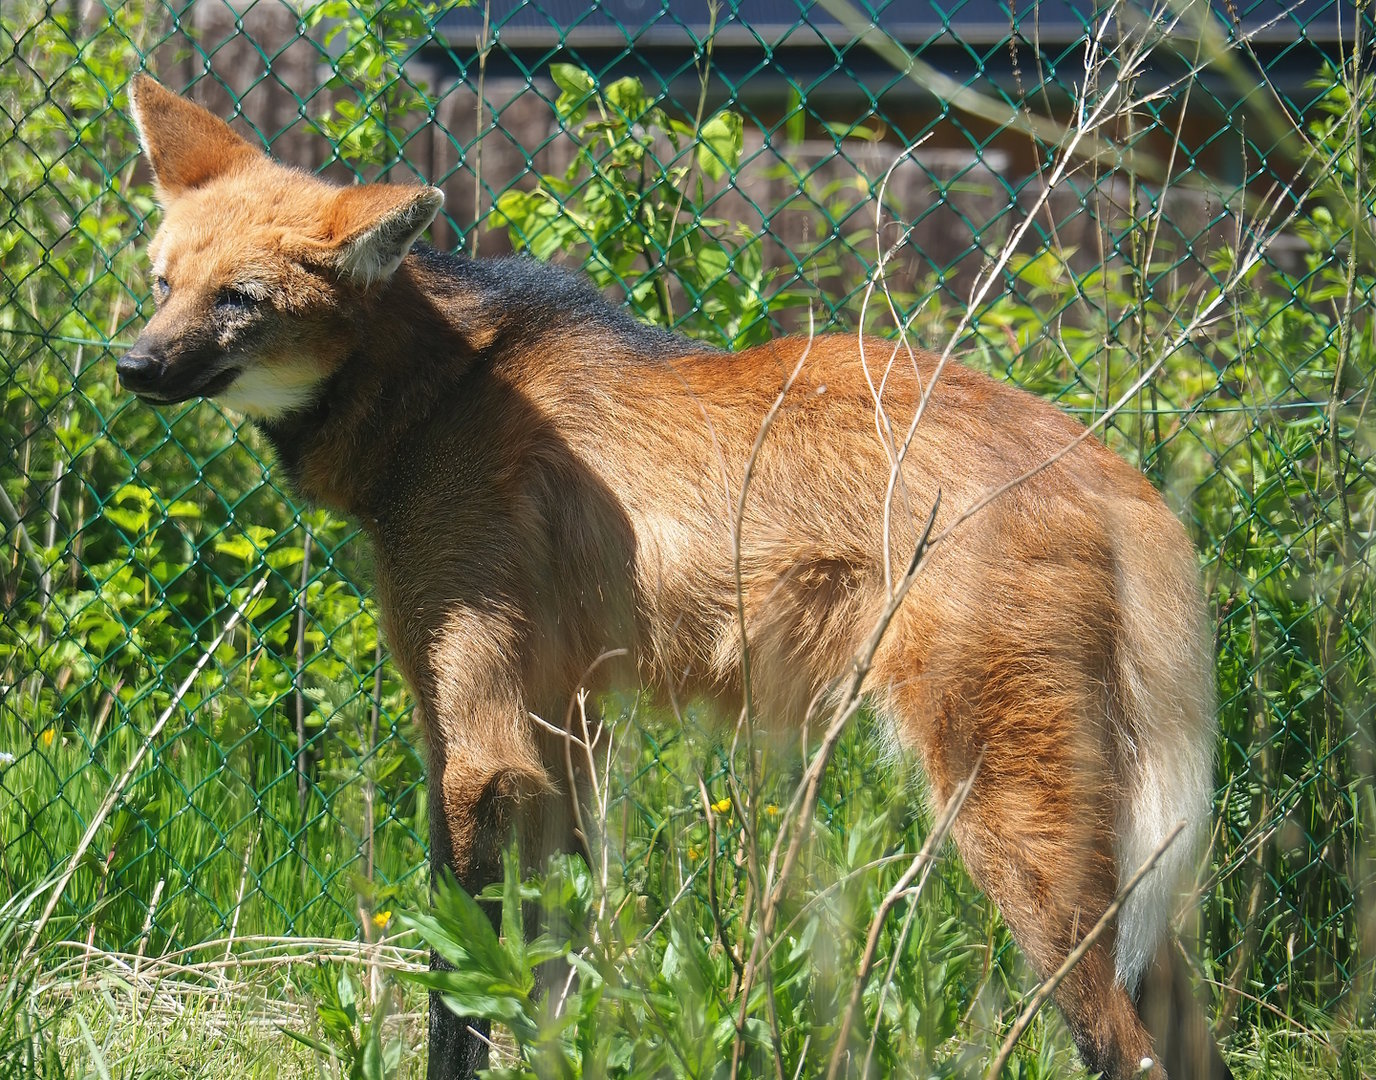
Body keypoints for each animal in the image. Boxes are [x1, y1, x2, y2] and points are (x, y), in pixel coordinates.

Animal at [117, 75, 1230, 1079]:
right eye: (164, 283)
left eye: (243, 299)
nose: (131, 366)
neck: (435, 390)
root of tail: (1114, 474)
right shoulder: (562, 728)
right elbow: (556, 977)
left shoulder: (476, 740)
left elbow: (463, 992)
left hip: (1007, 811)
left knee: (1119, 1042)